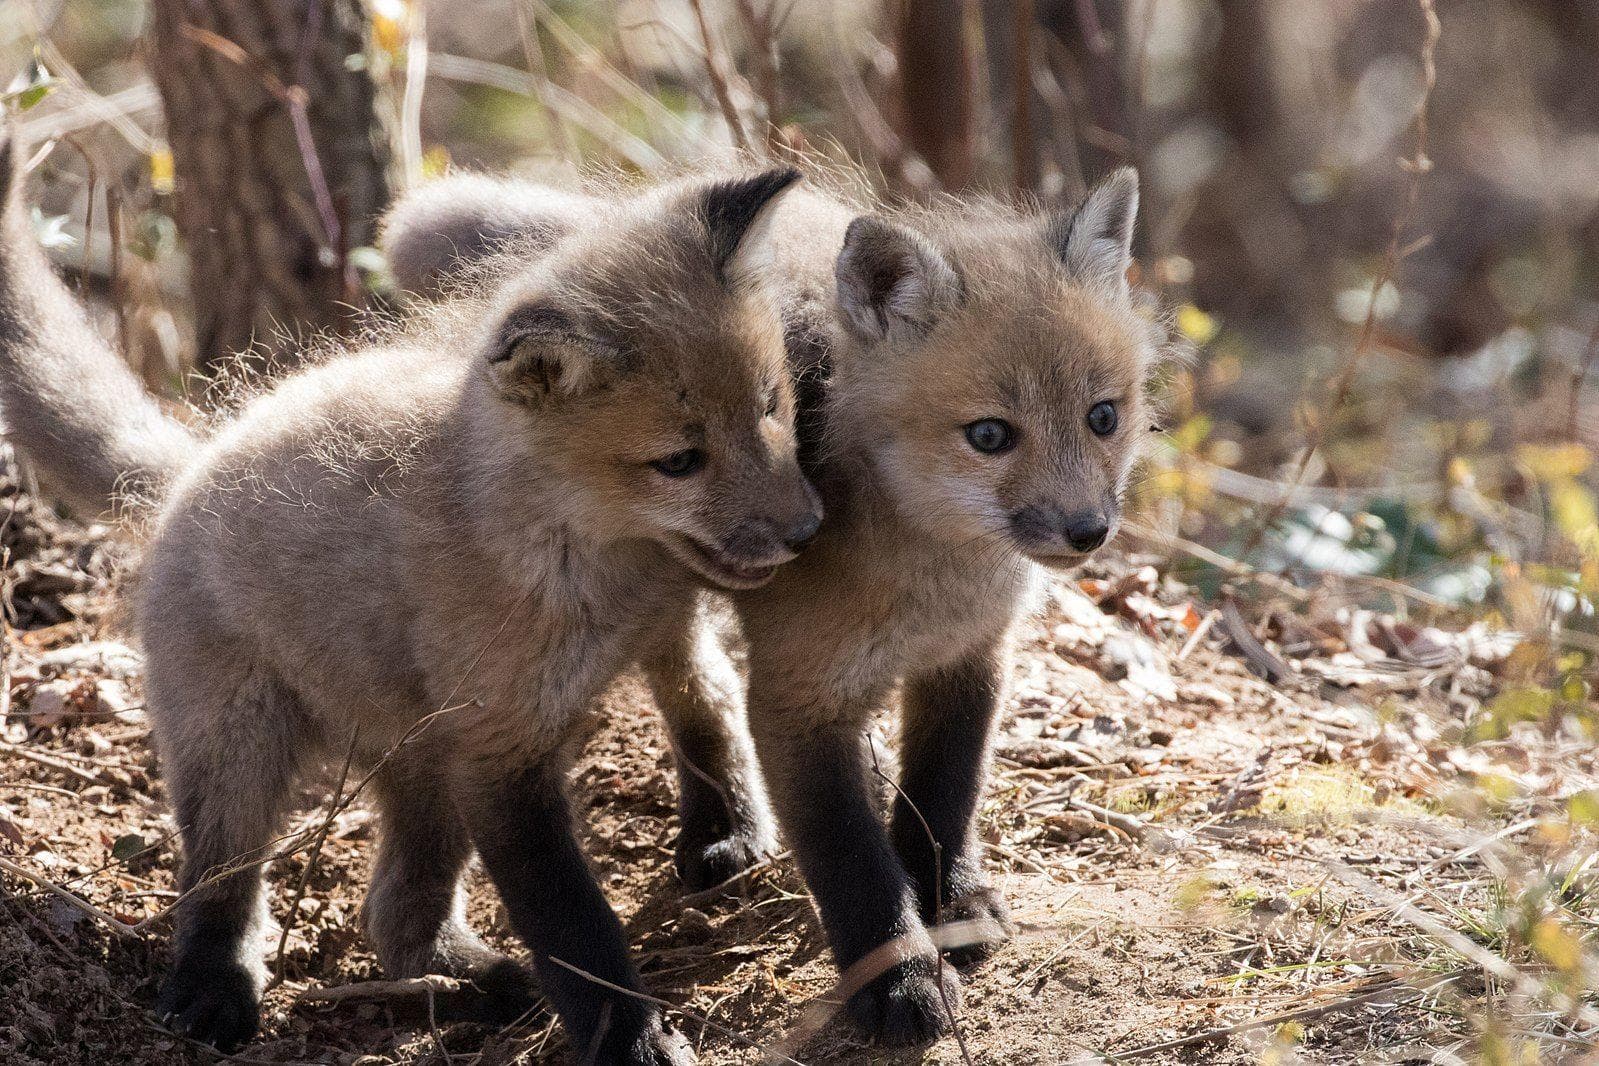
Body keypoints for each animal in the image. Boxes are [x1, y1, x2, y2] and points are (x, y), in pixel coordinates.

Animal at [0, 123, 822, 1066]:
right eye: (679, 460)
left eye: (771, 406)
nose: (807, 529)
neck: (601, 563)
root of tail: (189, 468)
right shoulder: (500, 752)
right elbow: (573, 924)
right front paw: (631, 1037)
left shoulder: (662, 624)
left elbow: (709, 708)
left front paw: (727, 831)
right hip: (242, 745)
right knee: (221, 884)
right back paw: (212, 990)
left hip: (424, 765)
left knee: (393, 914)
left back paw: (471, 980)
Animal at [382, 164, 1162, 1046]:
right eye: (989, 436)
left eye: (1103, 416)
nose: (1086, 530)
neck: (937, 580)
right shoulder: (798, 696)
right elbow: (849, 857)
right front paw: (899, 981)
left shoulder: (971, 657)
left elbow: (943, 795)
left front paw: (949, 903)